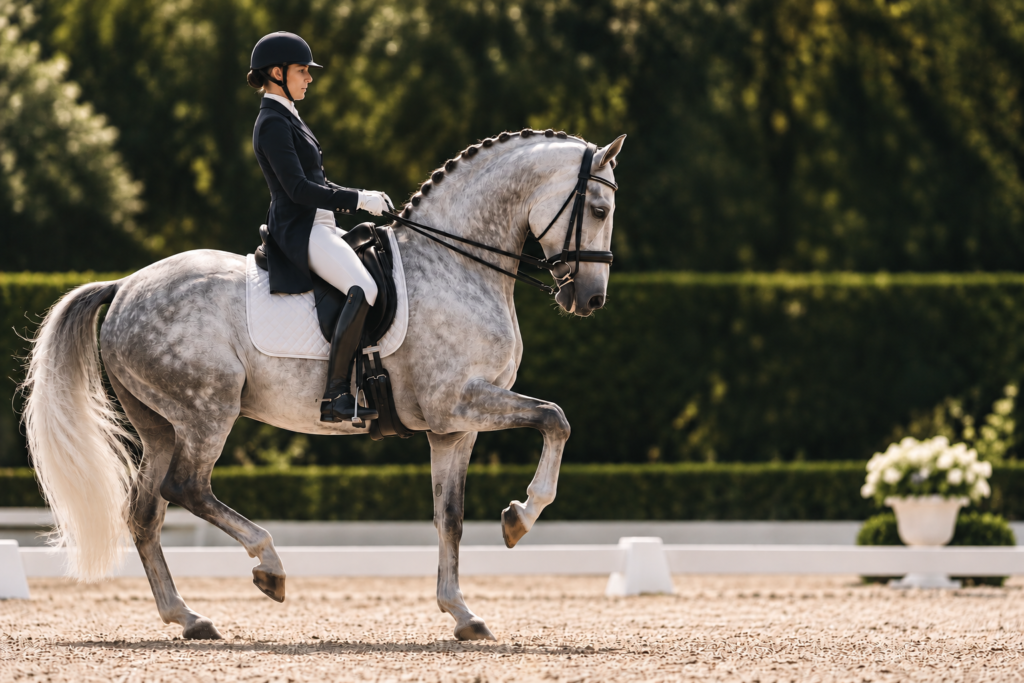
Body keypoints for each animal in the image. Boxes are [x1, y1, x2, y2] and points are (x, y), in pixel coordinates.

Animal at [21, 129, 626, 641]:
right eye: (599, 210)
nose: (591, 299)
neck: (456, 266)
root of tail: (124, 286)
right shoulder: (461, 401)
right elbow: (555, 418)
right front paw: (520, 516)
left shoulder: (453, 427)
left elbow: (449, 517)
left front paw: (462, 613)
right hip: (206, 411)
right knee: (188, 488)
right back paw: (268, 567)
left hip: (159, 425)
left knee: (145, 512)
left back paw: (188, 617)